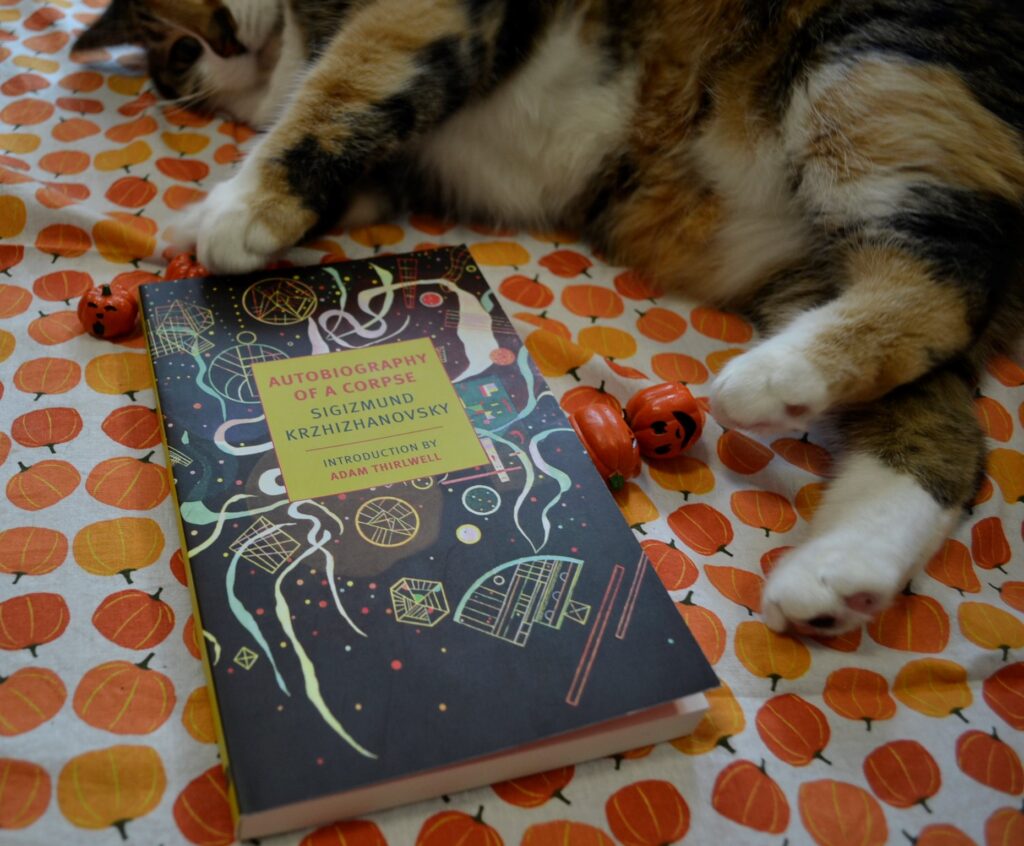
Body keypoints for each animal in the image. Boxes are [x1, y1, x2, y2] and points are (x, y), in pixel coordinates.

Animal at [75, 0, 1024, 630]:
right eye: (184, 50)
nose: (232, 41)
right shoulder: (389, 172)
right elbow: (354, 147)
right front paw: (212, 216)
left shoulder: (424, 16)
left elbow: (345, 81)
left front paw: (233, 210)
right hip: (810, 257)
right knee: (948, 423)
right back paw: (839, 571)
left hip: (880, 71)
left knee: (944, 287)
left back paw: (763, 380)